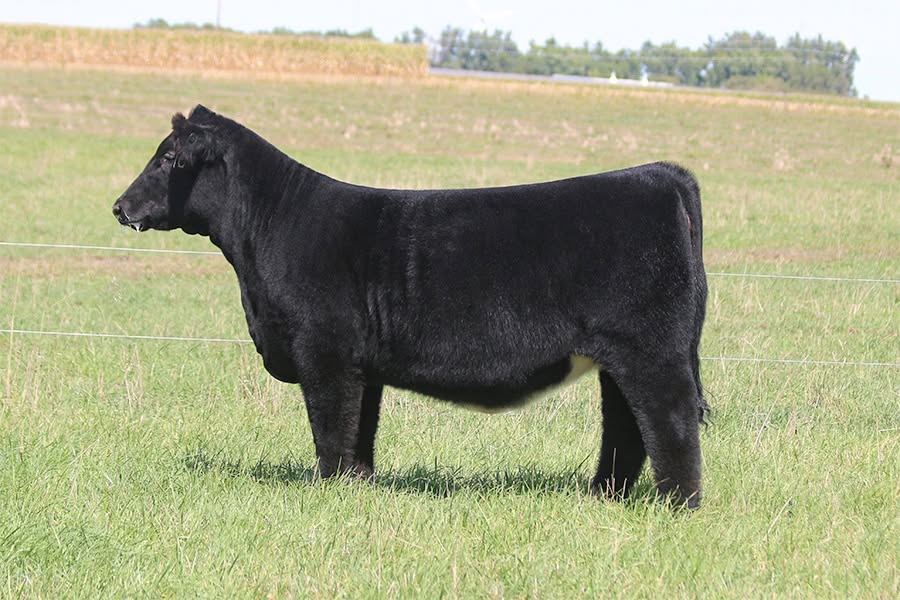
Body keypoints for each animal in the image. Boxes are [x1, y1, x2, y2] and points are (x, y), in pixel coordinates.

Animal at [112, 105, 709, 508]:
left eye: (169, 157)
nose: (119, 207)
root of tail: (660, 174)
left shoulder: (323, 352)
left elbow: (330, 425)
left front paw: (327, 489)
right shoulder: (362, 363)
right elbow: (361, 430)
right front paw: (357, 486)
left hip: (653, 351)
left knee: (669, 419)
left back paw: (677, 505)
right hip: (620, 358)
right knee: (626, 425)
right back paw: (605, 496)